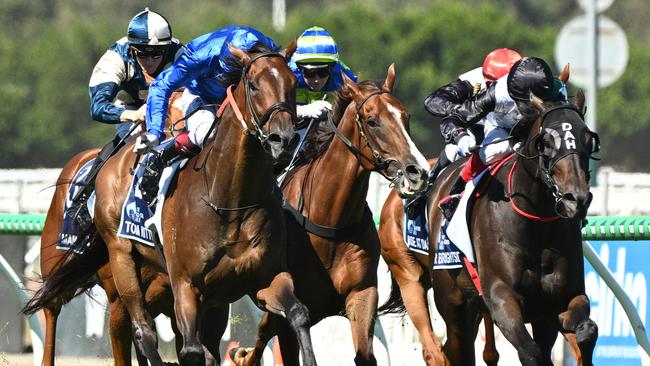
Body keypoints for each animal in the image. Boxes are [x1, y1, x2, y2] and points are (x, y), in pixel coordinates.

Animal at [233, 64, 430, 364]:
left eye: (405, 117)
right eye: (372, 121)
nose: (417, 172)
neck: (330, 220)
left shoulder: (361, 294)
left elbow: (365, 354)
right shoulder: (285, 302)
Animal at [422, 89, 600, 366]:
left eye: (588, 139)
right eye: (545, 142)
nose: (577, 199)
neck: (536, 224)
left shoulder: (559, 302)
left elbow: (587, 331)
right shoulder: (502, 300)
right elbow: (530, 351)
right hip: (453, 303)